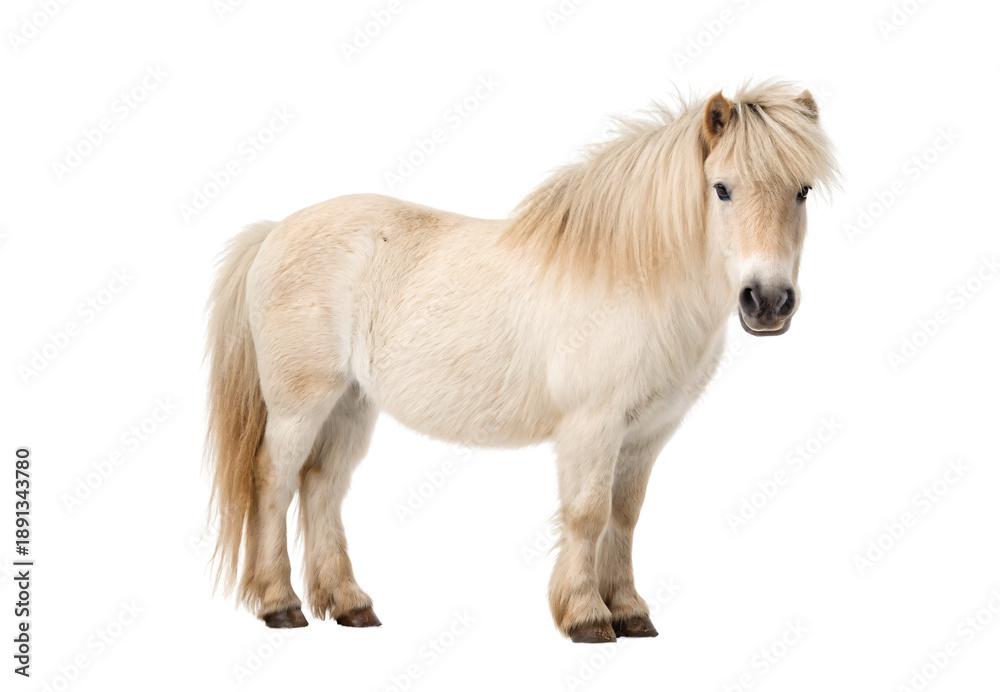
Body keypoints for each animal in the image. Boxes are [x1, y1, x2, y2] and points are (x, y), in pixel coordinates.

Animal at [206, 80, 837, 643]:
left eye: (803, 191)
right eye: (722, 189)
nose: (768, 302)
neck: (632, 279)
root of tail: (275, 232)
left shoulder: (645, 435)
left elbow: (624, 516)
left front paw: (630, 611)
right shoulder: (592, 427)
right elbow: (587, 514)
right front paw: (586, 617)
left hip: (351, 404)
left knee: (322, 486)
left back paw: (349, 604)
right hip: (300, 404)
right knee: (275, 480)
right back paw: (281, 606)